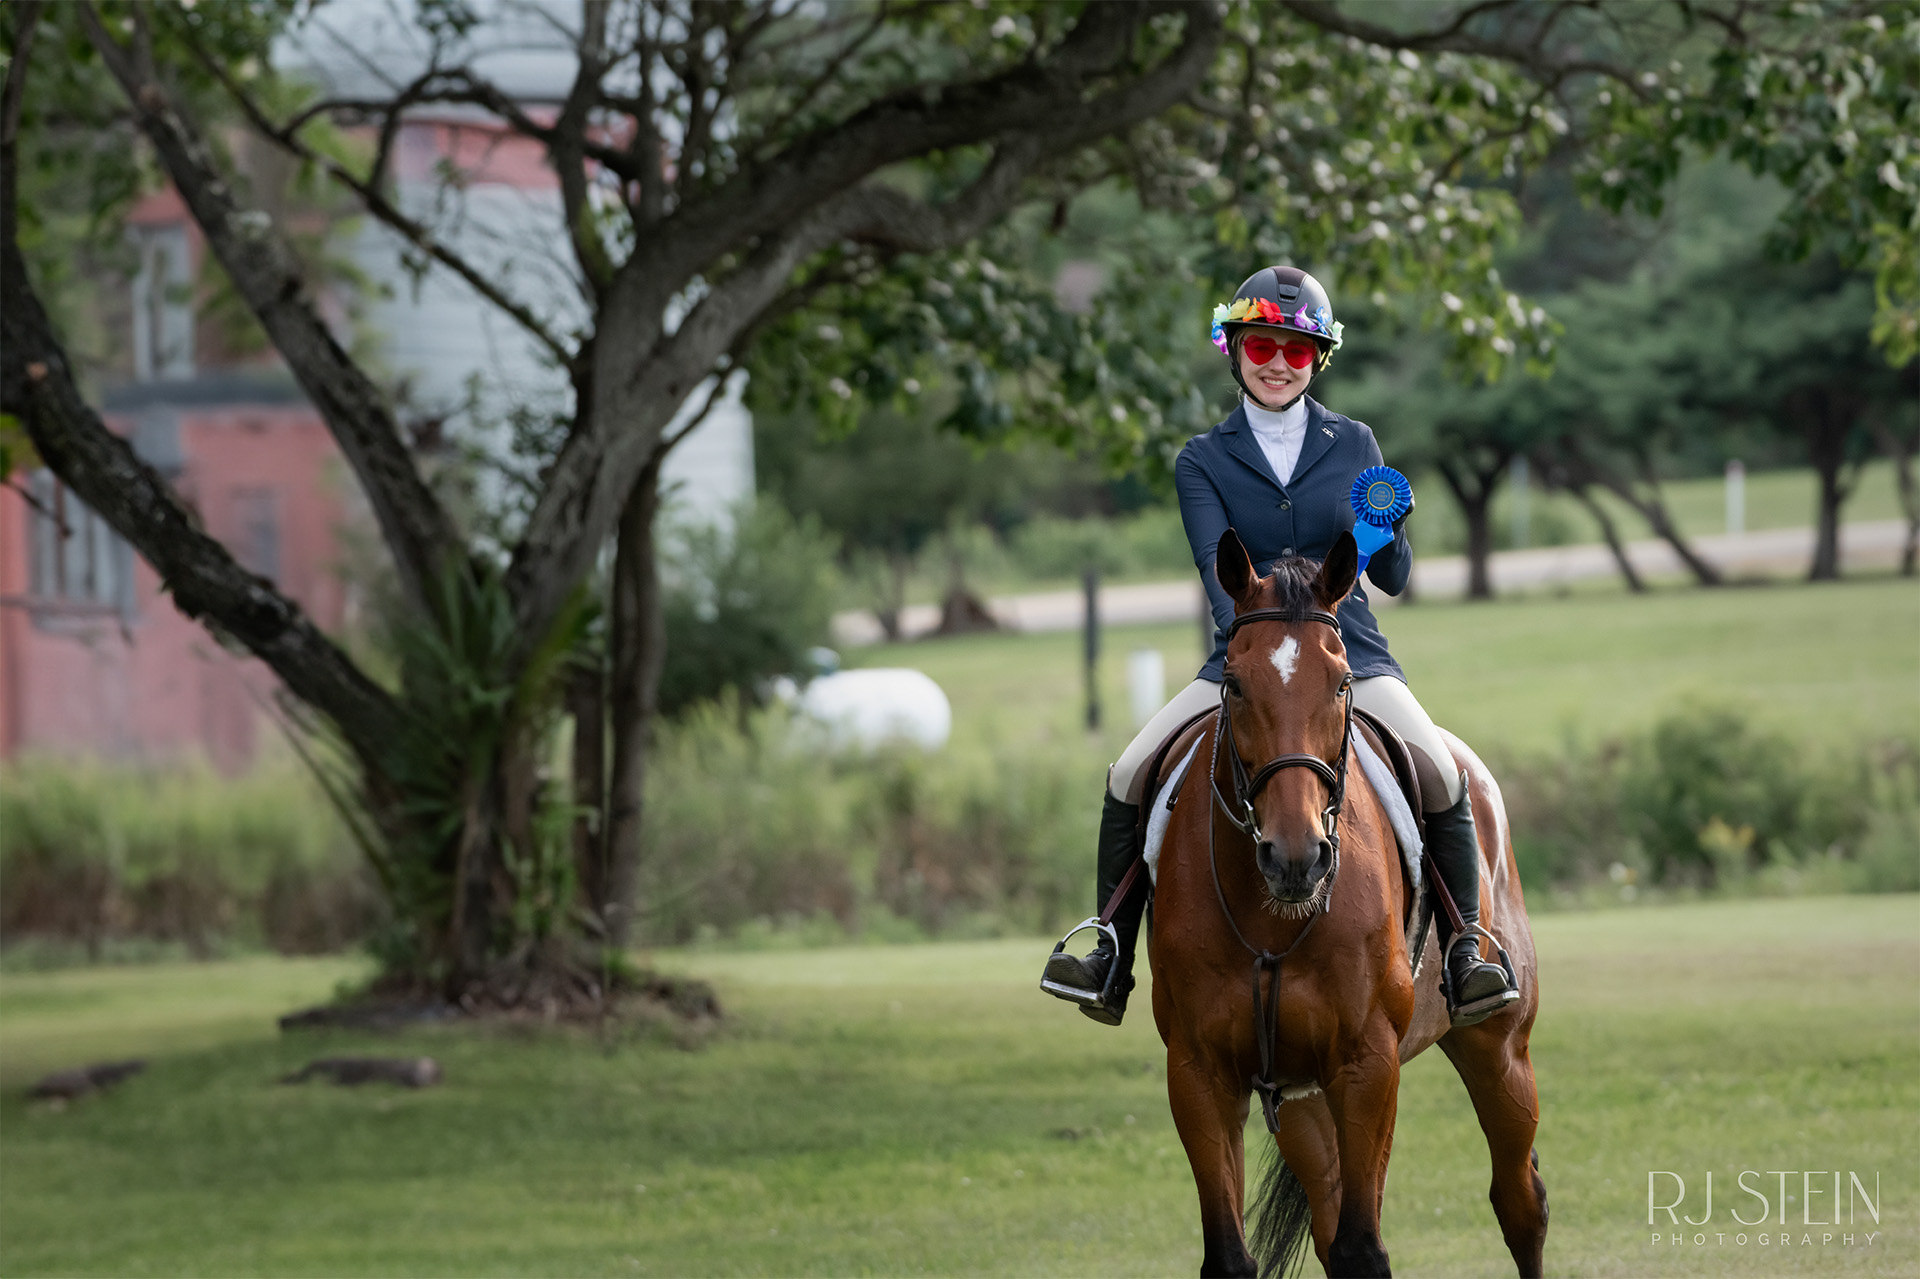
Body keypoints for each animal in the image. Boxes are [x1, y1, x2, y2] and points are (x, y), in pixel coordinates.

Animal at [1136, 526, 1543, 1275]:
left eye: (1343, 682)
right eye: (1234, 684)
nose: (1297, 856)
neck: (1273, 918)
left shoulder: (1366, 1065)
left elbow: (1363, 1246)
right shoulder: (1201, 1073)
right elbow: (1234, 1254)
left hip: (1499, 1049)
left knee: (1520, 1201)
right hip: (1300, 1099)